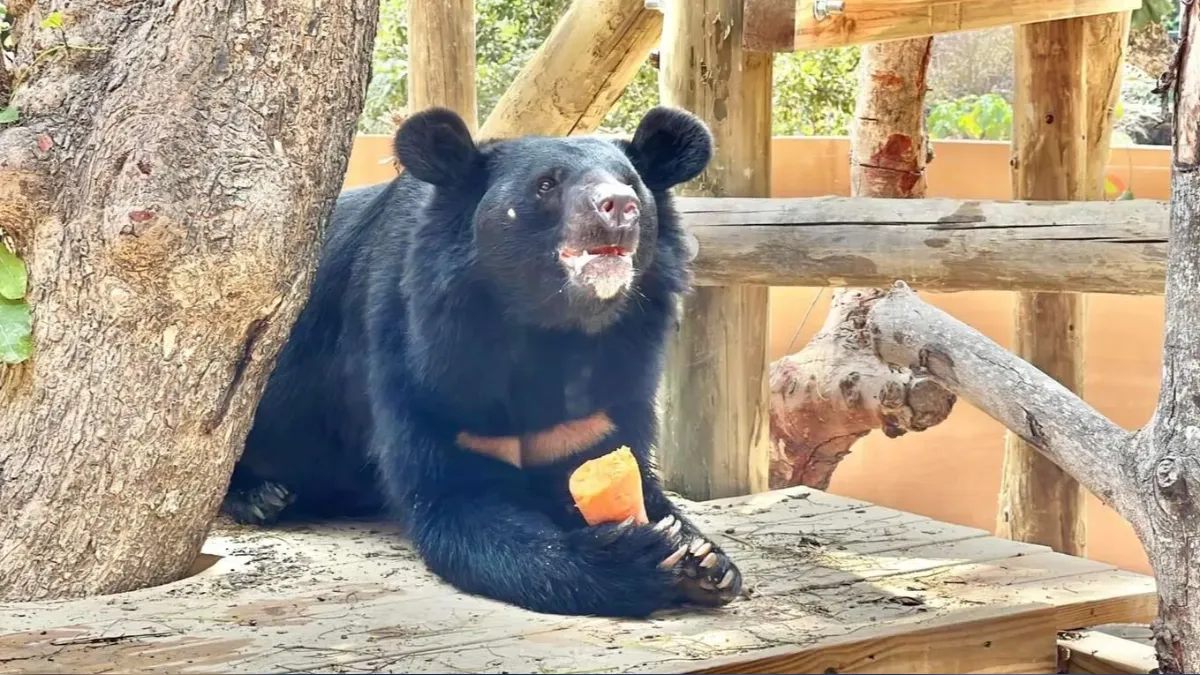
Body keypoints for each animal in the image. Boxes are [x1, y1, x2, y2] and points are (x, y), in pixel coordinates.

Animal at [221, 105, 742, 619]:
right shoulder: (421, 357)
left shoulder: (612, 378)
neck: (550, 329)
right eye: (547, 184)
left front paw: (704, 560)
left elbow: (607, 460)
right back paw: (260, 496)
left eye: (631, 182)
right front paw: (634, 555)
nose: (618, 206)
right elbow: (454, 495)